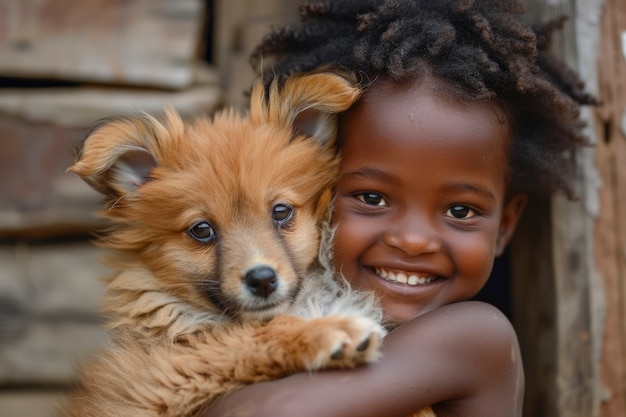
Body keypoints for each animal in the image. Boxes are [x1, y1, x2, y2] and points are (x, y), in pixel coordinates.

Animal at [63, 71, 386, 416]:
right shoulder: (163, 379)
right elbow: (243, 340)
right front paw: (325, 332)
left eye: (281, 211)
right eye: (202, 230)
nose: (262, 280)